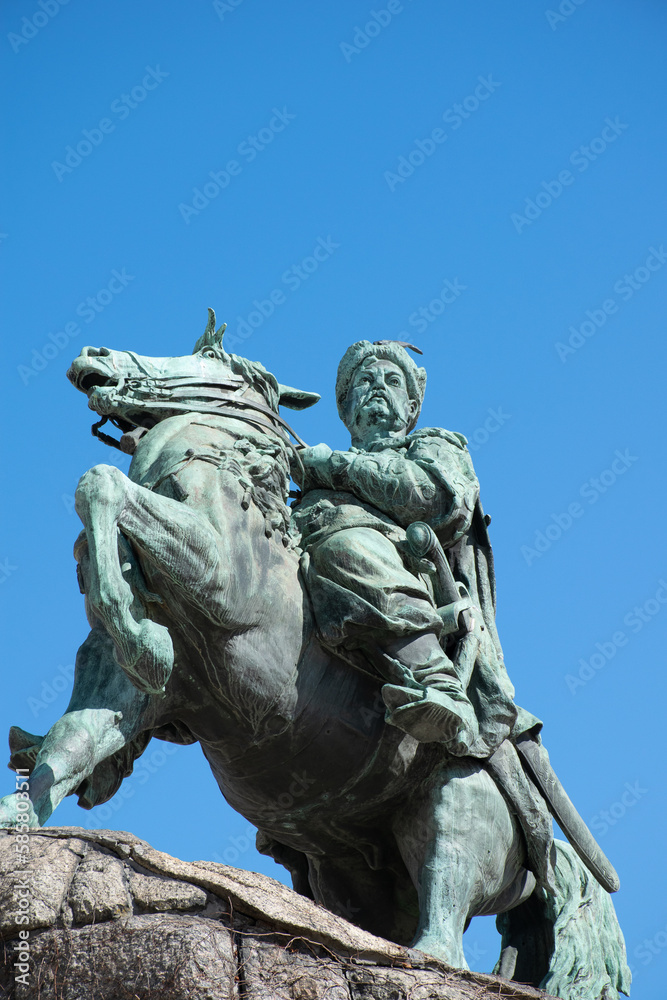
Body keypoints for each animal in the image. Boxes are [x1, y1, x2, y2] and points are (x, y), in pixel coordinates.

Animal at [1, 314, 632, 1000]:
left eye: (213, 361)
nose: (97, 356)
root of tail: (545, 843)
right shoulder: (120, 690)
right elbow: (73, 741)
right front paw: (19, 817)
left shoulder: (217, 576)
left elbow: (103, 481)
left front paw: (134, 623)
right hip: (346, 876)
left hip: (454, 805)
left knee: (446, 921)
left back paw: (439, 711)